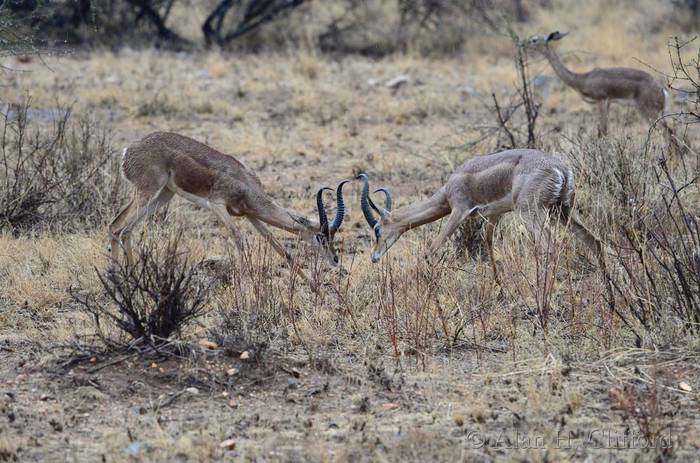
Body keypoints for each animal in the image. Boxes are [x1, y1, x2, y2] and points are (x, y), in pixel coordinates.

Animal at [109, 132, 349, 278]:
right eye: (321, 237)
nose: (335, 259)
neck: (246, 184)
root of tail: (129, 150)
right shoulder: (217, 206)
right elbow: (239, 239)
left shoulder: (250, 215)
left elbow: (279, 248)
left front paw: (315, 290)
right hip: (147, 192)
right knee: (117, 226)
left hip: (164, 195)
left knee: (125, 229)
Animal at [358, 149, 606, 279]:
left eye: (377, 229)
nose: (374, 257)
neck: (448, 189)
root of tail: (560, 169)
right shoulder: (495, 215)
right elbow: (489, 244)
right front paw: (498, 286)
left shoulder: (458, 212)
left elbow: (431, 249)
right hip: (562, 211)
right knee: (593, 240)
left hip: (531, 212)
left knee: (549, 246)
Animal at [527, 31, 681, 152]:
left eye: (534, 39)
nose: (524, 43)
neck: (582, 79)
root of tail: (662, 90)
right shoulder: (608, 103)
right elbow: (603, 132)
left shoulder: (601, 100)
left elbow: (602, 132)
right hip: (652, 113)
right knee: (671, 133)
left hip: (649, 112)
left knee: (669, 134)